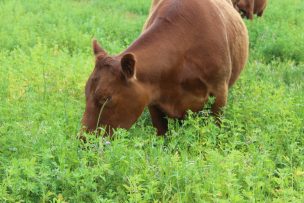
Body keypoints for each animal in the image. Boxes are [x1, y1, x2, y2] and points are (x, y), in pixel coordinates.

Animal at [81, 0, 249, 137]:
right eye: (86, 92)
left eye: (106, 98)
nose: (84, 139)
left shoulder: (220, 91)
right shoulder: (152, 98)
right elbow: (162, 133)